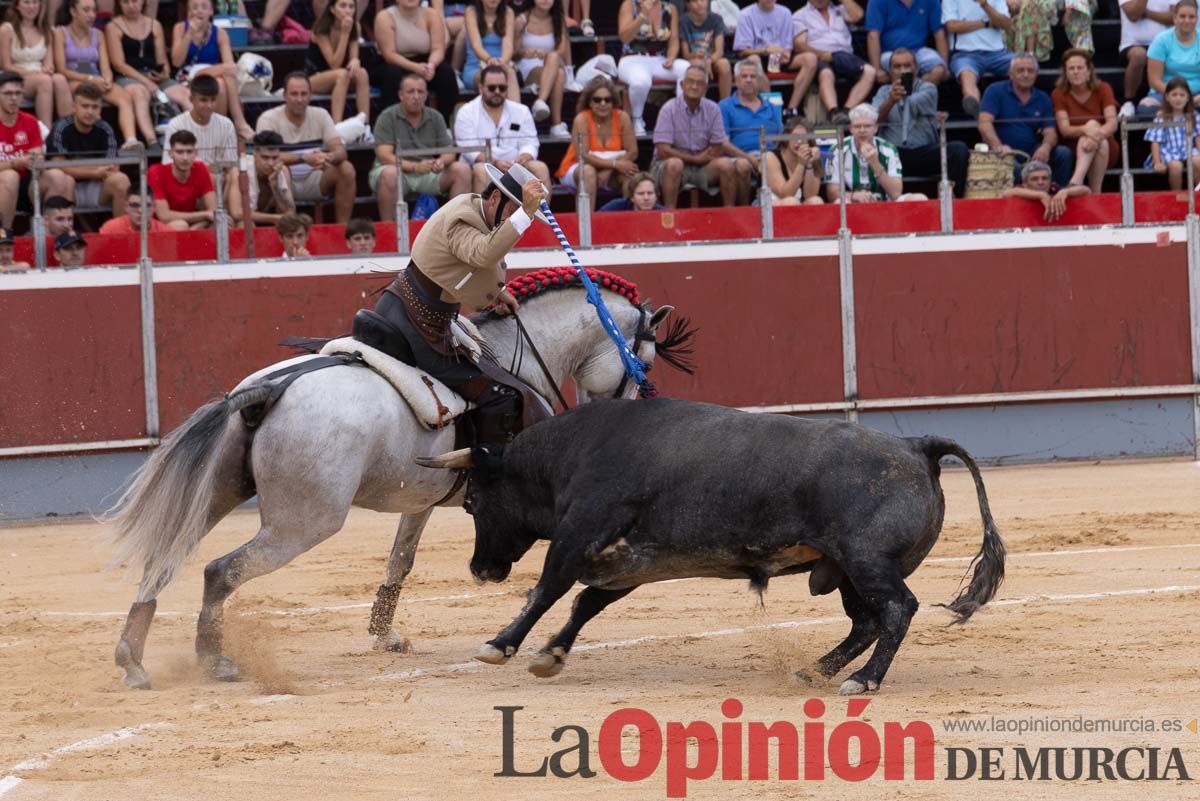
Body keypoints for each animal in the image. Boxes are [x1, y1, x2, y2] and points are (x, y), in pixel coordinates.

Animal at [109, 276, 700, 690]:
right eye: (644, 362)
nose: (633, 410)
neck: (523, 358)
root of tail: (268, 391)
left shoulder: (421, 498)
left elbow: (401, 560)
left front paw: (383, 633)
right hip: (304, 523)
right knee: (220, 571)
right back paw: (215, 661)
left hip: (217, 494)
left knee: (164, 559)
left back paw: (133, 660)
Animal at [417, 400, 1008, 695]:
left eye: (472, 502)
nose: (481, 569)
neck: (572, 453)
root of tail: (916, 445)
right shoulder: (632, 561)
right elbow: (586, 602)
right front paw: (551, 655)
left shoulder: (579, 534)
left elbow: (547, 590)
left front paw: (500, 645)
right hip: (843, 569)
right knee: (867, 621)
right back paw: (814, 672)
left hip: (867, 561)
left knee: (897, 609)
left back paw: (862, 681)